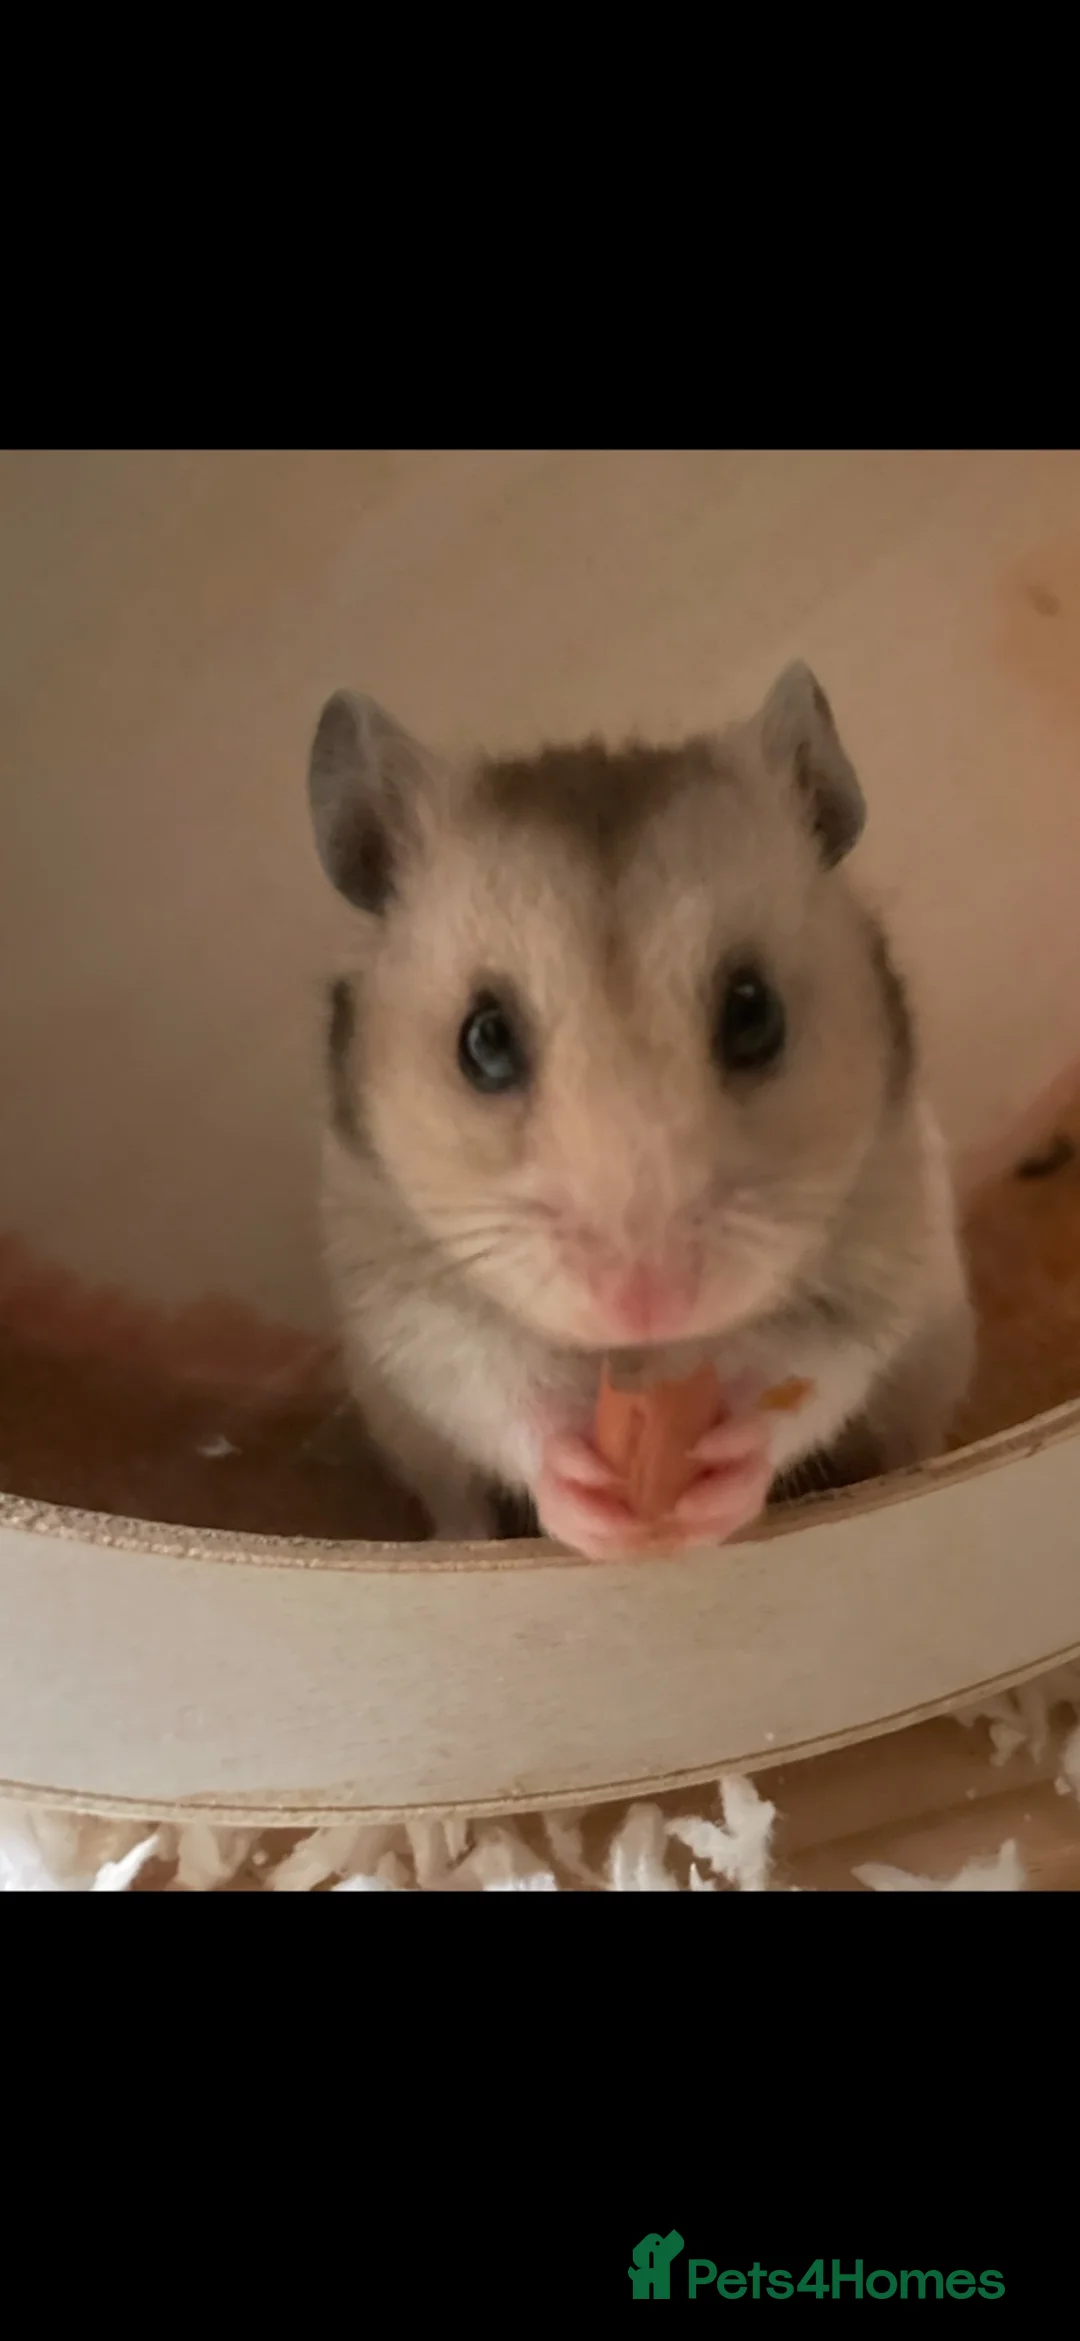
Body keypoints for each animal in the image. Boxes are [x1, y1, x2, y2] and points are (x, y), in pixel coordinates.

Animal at [307, 666, 974, 1560]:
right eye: (484, 1040)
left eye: (755, 1014)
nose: (645, 1304)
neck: (648, 1360)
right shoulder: (400, 1299)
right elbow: (493, 1387)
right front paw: (595, 1508)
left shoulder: (880, 1255)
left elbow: (806, 1376)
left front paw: (716, 1480)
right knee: (456, 1495)